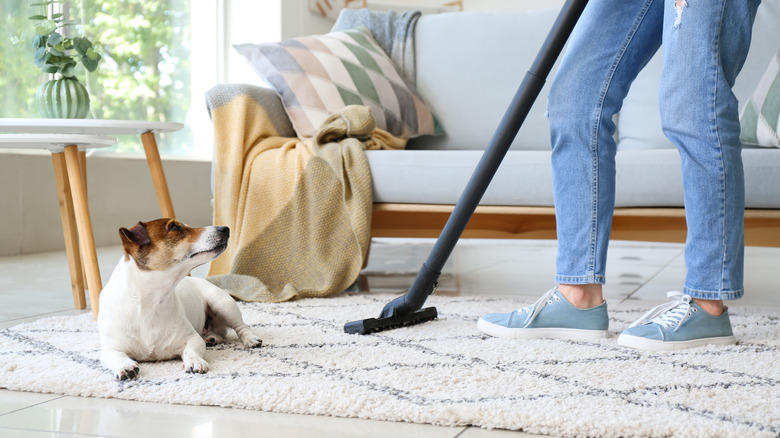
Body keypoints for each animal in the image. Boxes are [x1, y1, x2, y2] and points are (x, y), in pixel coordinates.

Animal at [96, 219, 262, 380]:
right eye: (175, 227)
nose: (225, 229)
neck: (149, 302)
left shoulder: (192, 338)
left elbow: (191, 350)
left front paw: (194, 362)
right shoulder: (110, 348)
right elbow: (115, 355)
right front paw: (125, 366)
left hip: (223, 303)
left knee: (241, 327)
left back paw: (250, 339)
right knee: (220, 333)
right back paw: (212, 338)